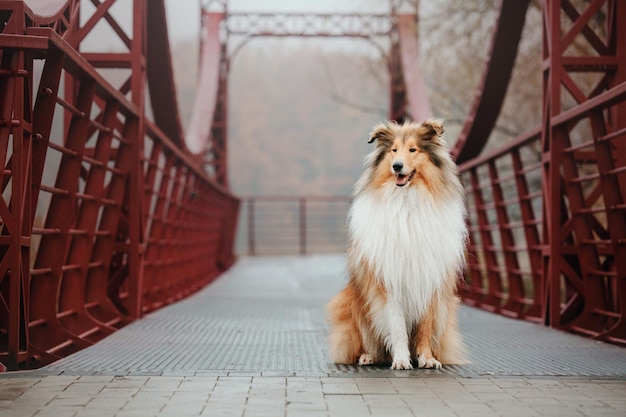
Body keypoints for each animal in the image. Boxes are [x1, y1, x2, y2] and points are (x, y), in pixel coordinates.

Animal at [324, 118, 466, 368]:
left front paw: (426, 358)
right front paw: (401, 360)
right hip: (351, 304)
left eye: (413, 150)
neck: (407, 201)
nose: (397, 166)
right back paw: (369, 356)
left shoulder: (429, 278)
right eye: (393, 150)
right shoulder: (389, 280)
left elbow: (425, 326)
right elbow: (397, 325)